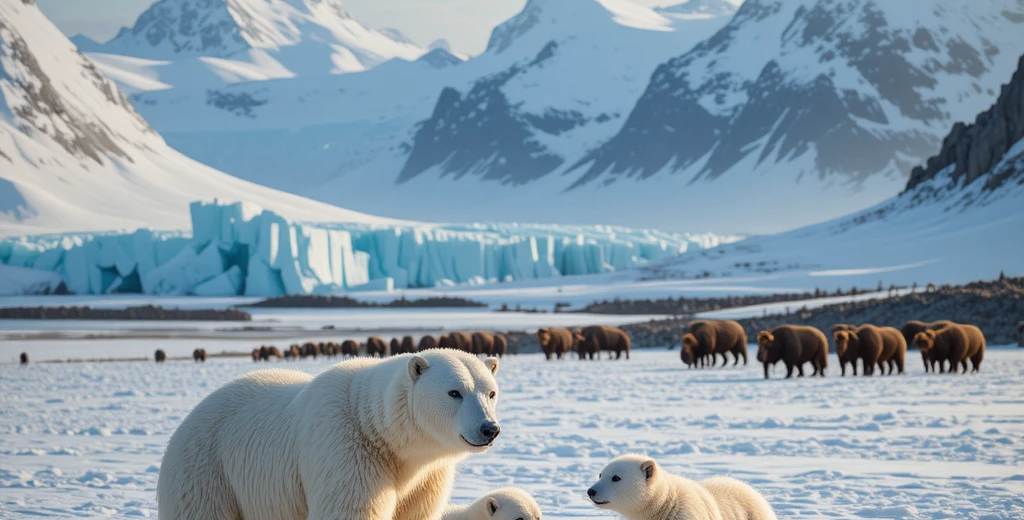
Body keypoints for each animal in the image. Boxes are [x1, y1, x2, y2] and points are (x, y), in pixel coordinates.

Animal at [157, 350, 502, 520]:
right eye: (454, 392)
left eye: (491, 392)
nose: (489, 429)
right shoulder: (346, 450)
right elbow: (352, 511)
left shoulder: (426, 477)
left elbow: (416, 512)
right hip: (207, 472)